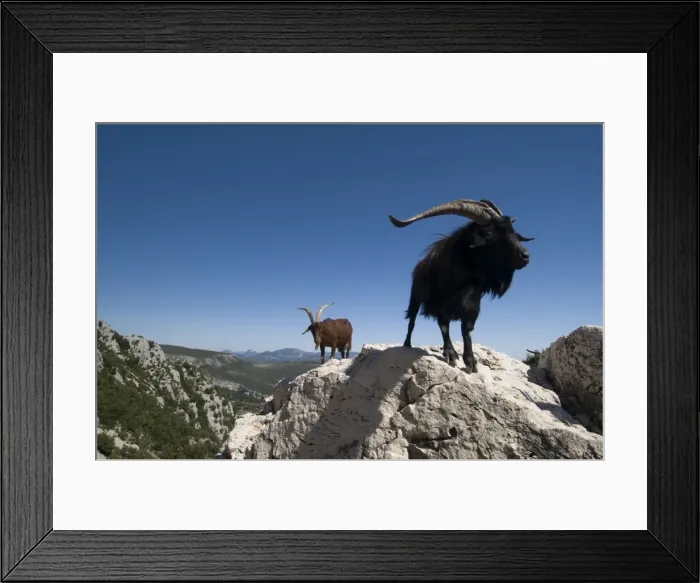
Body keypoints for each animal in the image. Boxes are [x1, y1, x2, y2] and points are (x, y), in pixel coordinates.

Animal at [388, 198, 534, 373]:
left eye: (514, 232)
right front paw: (450, 354)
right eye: (490, 234)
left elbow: (467, 331)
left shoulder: (473, 306)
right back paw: (407, 344)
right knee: (412, 321)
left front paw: (470, 361)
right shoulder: (440, 304)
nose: (525, 256)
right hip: (415, 298)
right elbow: (444, 326)